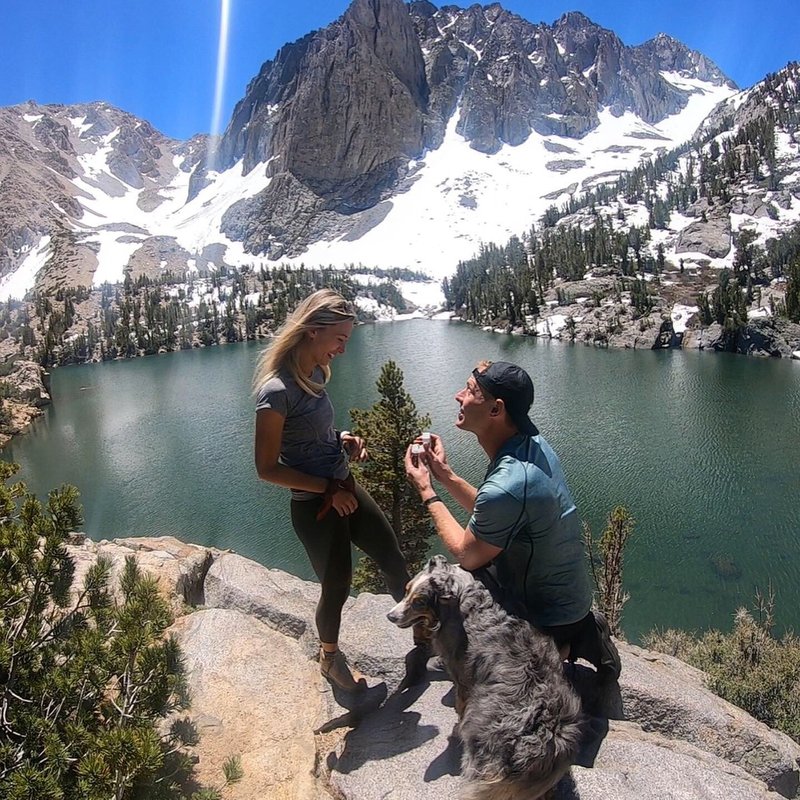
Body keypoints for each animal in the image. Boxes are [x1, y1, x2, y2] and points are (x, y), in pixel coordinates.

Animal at [388, 556, 580, 800]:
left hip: (481, 763)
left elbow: (460, 705)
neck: (462, 592)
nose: (390, 616)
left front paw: (455, 728)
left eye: (419, 602)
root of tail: (543, 738)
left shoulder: (461, 676)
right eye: (406, 590)